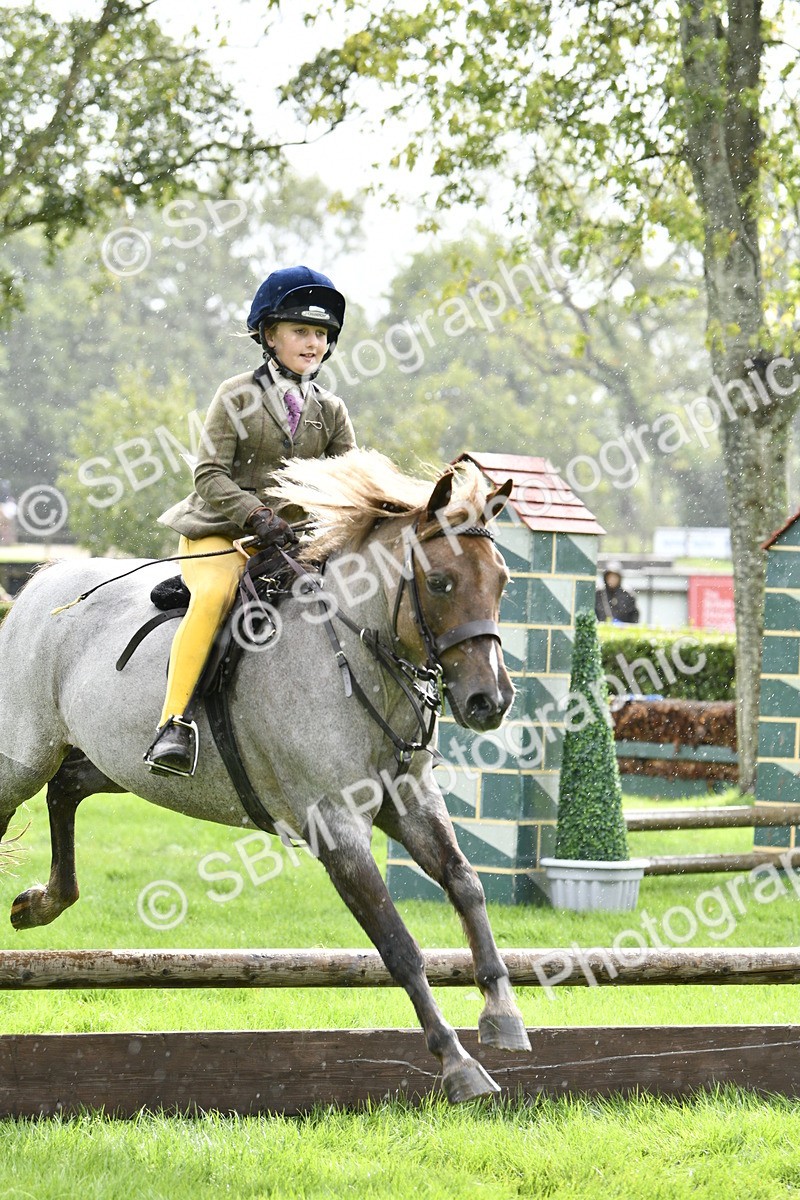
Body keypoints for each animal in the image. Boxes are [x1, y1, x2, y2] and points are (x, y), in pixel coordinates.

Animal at [0, 448, 531, 1102]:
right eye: (440, 582)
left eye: (503, 581)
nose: (490, 702)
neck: (357, 657)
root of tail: (38, 584)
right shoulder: (336, 826)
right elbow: (399, 946)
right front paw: (458, 1064)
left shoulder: (409, 801)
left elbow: (465, 884)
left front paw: (503, 1014)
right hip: (23, 754)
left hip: (111, 761)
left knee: (67, 788)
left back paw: (43, 903)